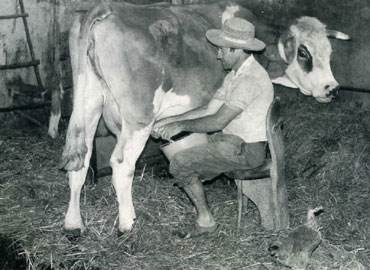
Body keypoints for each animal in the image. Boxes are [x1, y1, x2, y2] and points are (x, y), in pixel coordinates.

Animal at [60, 0, 350, 234]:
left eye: (330, 51)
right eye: (303, 52)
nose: (332, 88)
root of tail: (109, 8)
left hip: (88, 104)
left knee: (81, 160)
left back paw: (74, 224)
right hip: (138, 117)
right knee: (121, 165)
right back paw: (127, 224)